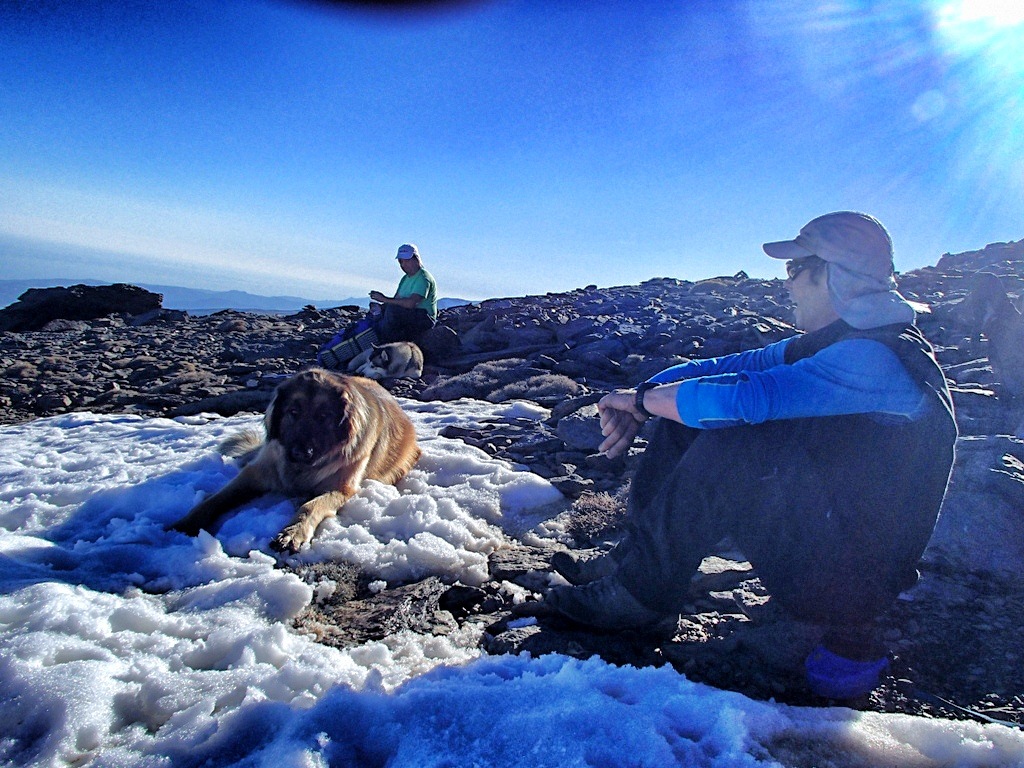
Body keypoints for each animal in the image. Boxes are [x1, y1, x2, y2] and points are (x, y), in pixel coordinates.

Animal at [169, 368, 417, 552]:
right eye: (293, 412)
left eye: (324, 416)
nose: (301, 452)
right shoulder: (258, 471)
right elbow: (215, 499)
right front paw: (186, 522)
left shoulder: (340, 487)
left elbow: (310, 506)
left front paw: (293, 533)